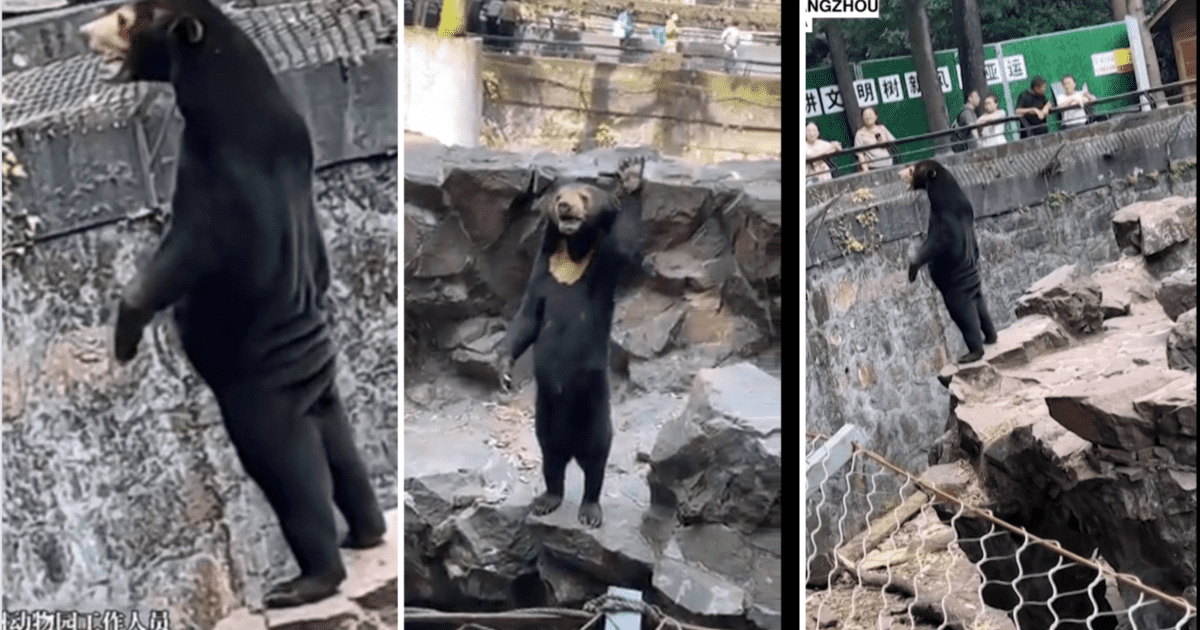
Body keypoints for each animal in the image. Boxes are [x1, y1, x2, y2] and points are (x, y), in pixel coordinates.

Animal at [79, 0, 386, 608]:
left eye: (124, 19)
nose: (83, 31)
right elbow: (318, 262)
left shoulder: (218, 174)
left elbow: (182, 257)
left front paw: (123, 341)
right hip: (323, 395)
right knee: (343, 452)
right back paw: (366, 532)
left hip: (260, 398)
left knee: (289, 472)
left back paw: (307, 581)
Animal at [498, 157, 645, 528]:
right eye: (558, 197)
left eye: (584, 196)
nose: (565, 207)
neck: (572, 255)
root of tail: (571, 446)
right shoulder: (543, 273)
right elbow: (528, 318)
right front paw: (503, 371)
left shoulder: (603, 267)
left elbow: (628, 247)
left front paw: (632, 176)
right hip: (545, 417)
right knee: (551, 458)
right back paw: (546, 500)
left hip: (593, 406)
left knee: (596, 458)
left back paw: (590, 510)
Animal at [902, 159, 997, 364]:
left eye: (912, 169)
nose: (900, 173)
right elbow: (975, 248)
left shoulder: (943, 222)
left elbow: (931, 248)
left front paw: (912, 272)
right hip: (977, 293)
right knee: (983, 311)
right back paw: (991, 337)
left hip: (956, 294)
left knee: (965, 319)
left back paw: (971, 354)